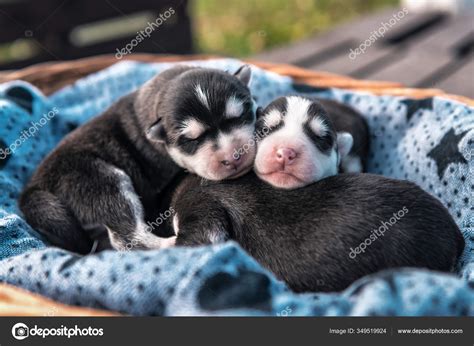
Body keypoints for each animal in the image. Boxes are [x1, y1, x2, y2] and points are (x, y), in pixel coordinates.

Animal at [19, 65, 256, 254]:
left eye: (240, 115)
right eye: (192, 139)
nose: (233, 156)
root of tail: (34, 187)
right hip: (103, 182)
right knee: (126, 236)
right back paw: (168, 244)